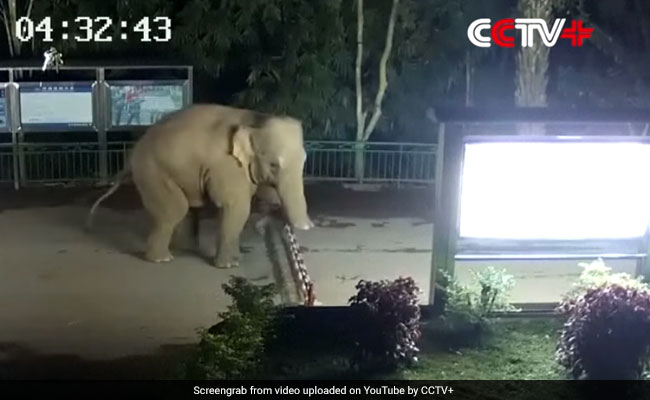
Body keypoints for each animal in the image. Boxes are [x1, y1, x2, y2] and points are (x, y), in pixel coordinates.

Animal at [86, 103, 314, 268]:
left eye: (305, 159)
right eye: (274, 164)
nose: (309, 228)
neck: (254, 121)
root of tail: (132, 152)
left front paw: (236, 259)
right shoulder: (227, 165)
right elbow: (236, 207)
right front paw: (229, 266)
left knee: (189, 206)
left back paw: (184, 250)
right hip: (152, 171)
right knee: (174, 209)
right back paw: (162, 259)